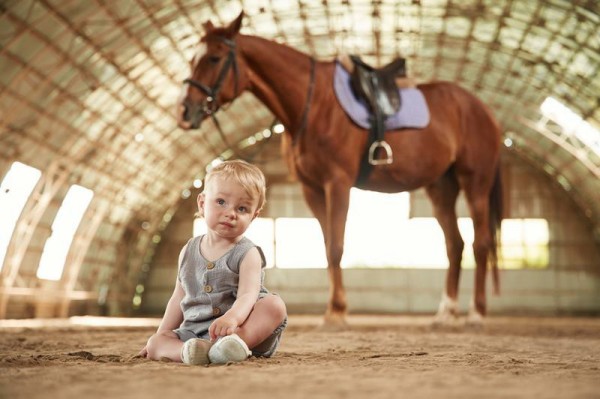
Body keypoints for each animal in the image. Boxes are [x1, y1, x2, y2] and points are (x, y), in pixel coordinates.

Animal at [177, 12, 502, 326]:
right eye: (192, 59)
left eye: (214, 58)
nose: (184, 112)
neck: (313, 103)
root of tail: (481, 108)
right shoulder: (312, 188)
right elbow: (327, 246)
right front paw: (336, 308)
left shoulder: (338, 183)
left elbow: (336, 246)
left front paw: (336, 312)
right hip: (441, 187)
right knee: (455, 245)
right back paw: (446, 313)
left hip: (475, 182)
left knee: (480, 243)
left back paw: (476, 312)